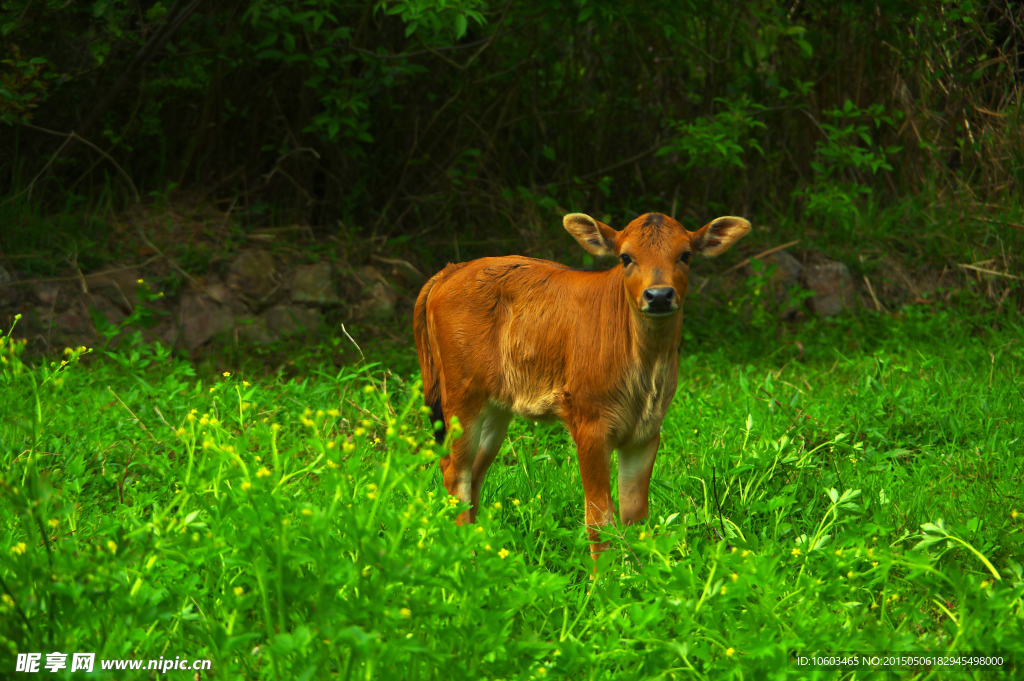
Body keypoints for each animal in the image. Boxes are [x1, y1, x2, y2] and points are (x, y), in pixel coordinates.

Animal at [411, 210, 749, 557]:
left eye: (686, 255)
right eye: (625, 257)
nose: (658, 296)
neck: (645, 376)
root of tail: (450, 270)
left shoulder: (647, 431)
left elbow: (635, 516)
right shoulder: (589, 423)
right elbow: (599, 519)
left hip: (495, 407)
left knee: (475, 473)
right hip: (460, 395)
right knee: (455, 472)